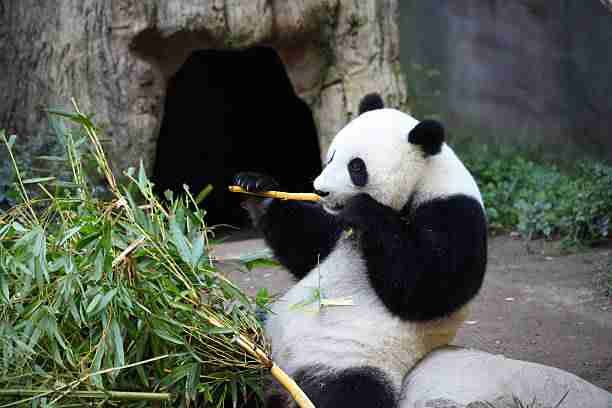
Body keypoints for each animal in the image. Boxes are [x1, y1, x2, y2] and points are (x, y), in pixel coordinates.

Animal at [234, 94, 488, 406]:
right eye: (331, 155)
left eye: (356, 168)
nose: (320, 191)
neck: (424, 179)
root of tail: (278, 383)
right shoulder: (339, 229)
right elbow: (308, 246)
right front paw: (256, 187)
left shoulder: (454, 211)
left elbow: (427, 286)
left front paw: (365, 208)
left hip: (347, 361)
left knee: (346, 393)